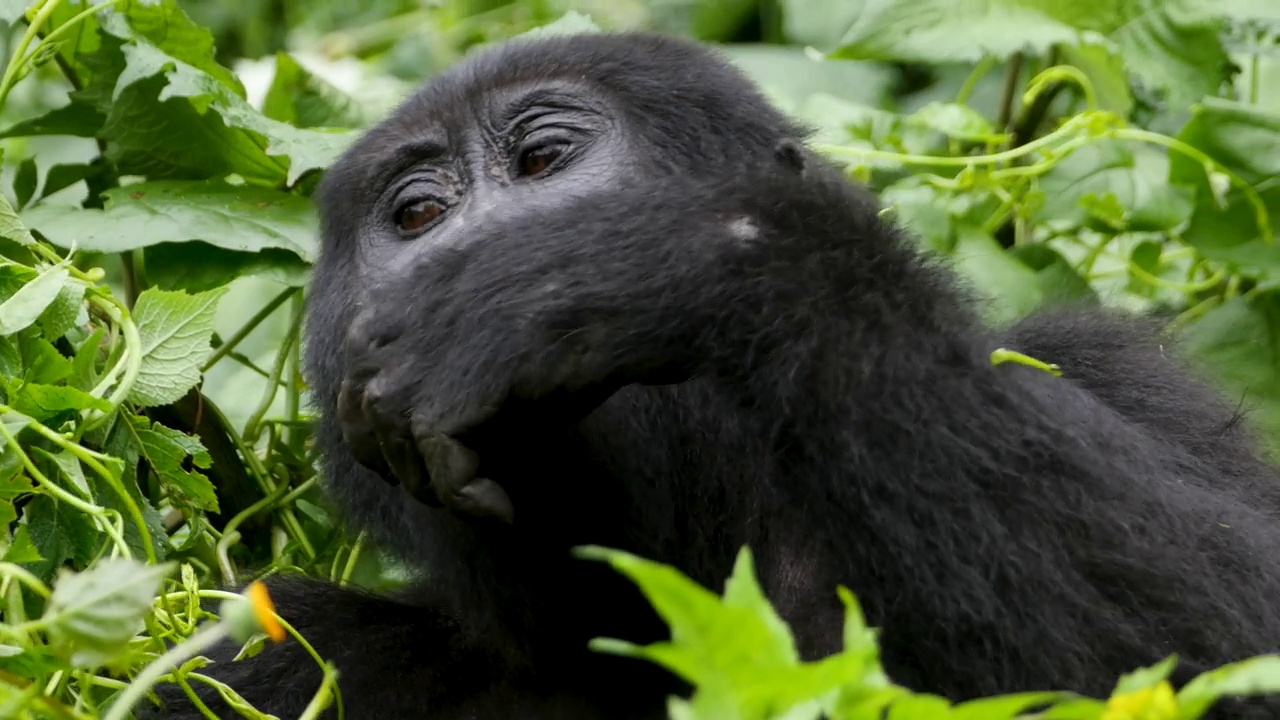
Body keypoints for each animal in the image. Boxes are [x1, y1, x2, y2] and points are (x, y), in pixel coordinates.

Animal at [154, 30, 1280, 712]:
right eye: (419, 215)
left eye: (544, 163)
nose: (456, 249)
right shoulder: (275, 651)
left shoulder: (1101, 367)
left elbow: (1231, 638)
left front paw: (651, 258)